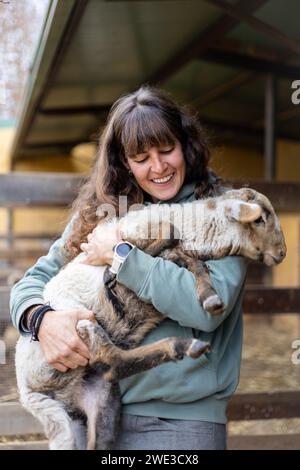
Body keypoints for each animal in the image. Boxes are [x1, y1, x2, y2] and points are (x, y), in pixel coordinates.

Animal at [14, 188, 286, 452]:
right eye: (260, 219)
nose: (282, 253)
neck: (195, 230)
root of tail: (28, 394)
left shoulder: (183, 255)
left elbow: (197, 266)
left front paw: (210, 298)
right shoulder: (139, 230)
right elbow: (170, 232)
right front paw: (115, 269)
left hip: (104, 407)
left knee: (114, 369)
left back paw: (181, 346)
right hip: (76, 322)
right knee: (109, 356)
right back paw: (181, 345)